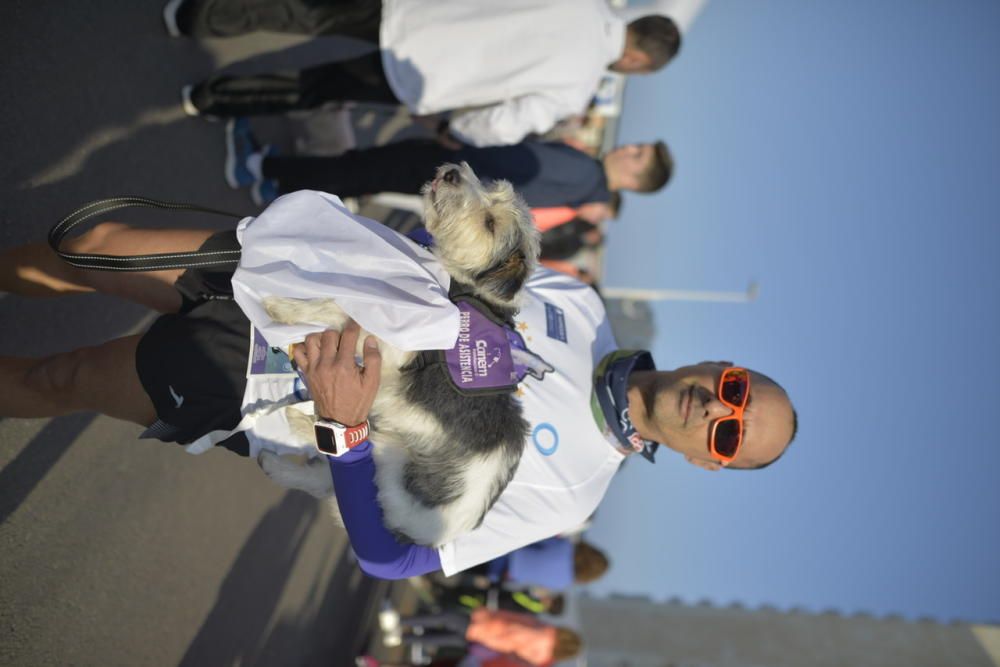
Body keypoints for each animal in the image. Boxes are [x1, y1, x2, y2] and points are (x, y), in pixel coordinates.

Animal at [258, 163, 540, 548]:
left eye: (490, 223)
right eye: (487, 184)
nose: (452, 171)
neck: (463, 290)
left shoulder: (392, 344)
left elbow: (337, 308)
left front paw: (283, 306)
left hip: (389, 461)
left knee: (330, 473)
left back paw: (293, 433)